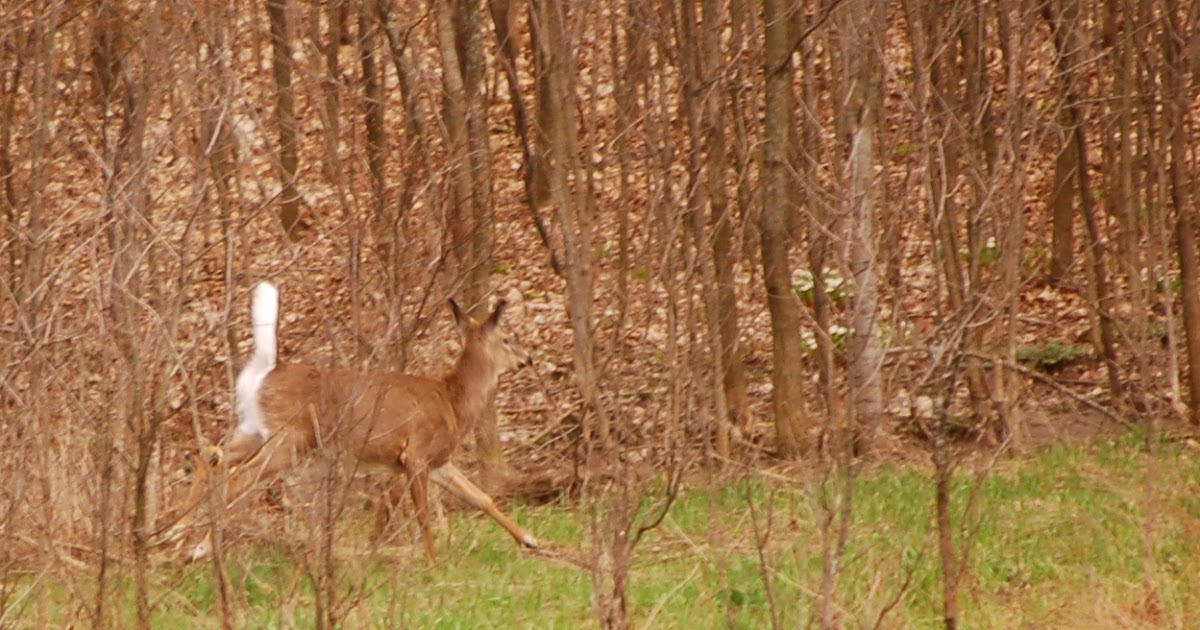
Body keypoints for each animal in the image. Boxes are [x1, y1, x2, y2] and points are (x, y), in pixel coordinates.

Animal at [176, 281, 539, 564]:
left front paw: (531, 540)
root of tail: (266, 371)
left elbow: (480, 498)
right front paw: (433, 563)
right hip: (290, 437)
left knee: (211, 455)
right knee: (239, 476)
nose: (529, 358)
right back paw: (200, 546)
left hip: (253, 429)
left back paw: (179, 533)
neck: (452, 401)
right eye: (508, 339)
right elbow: (422, 514)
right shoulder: (416, 453)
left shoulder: (435, 461)